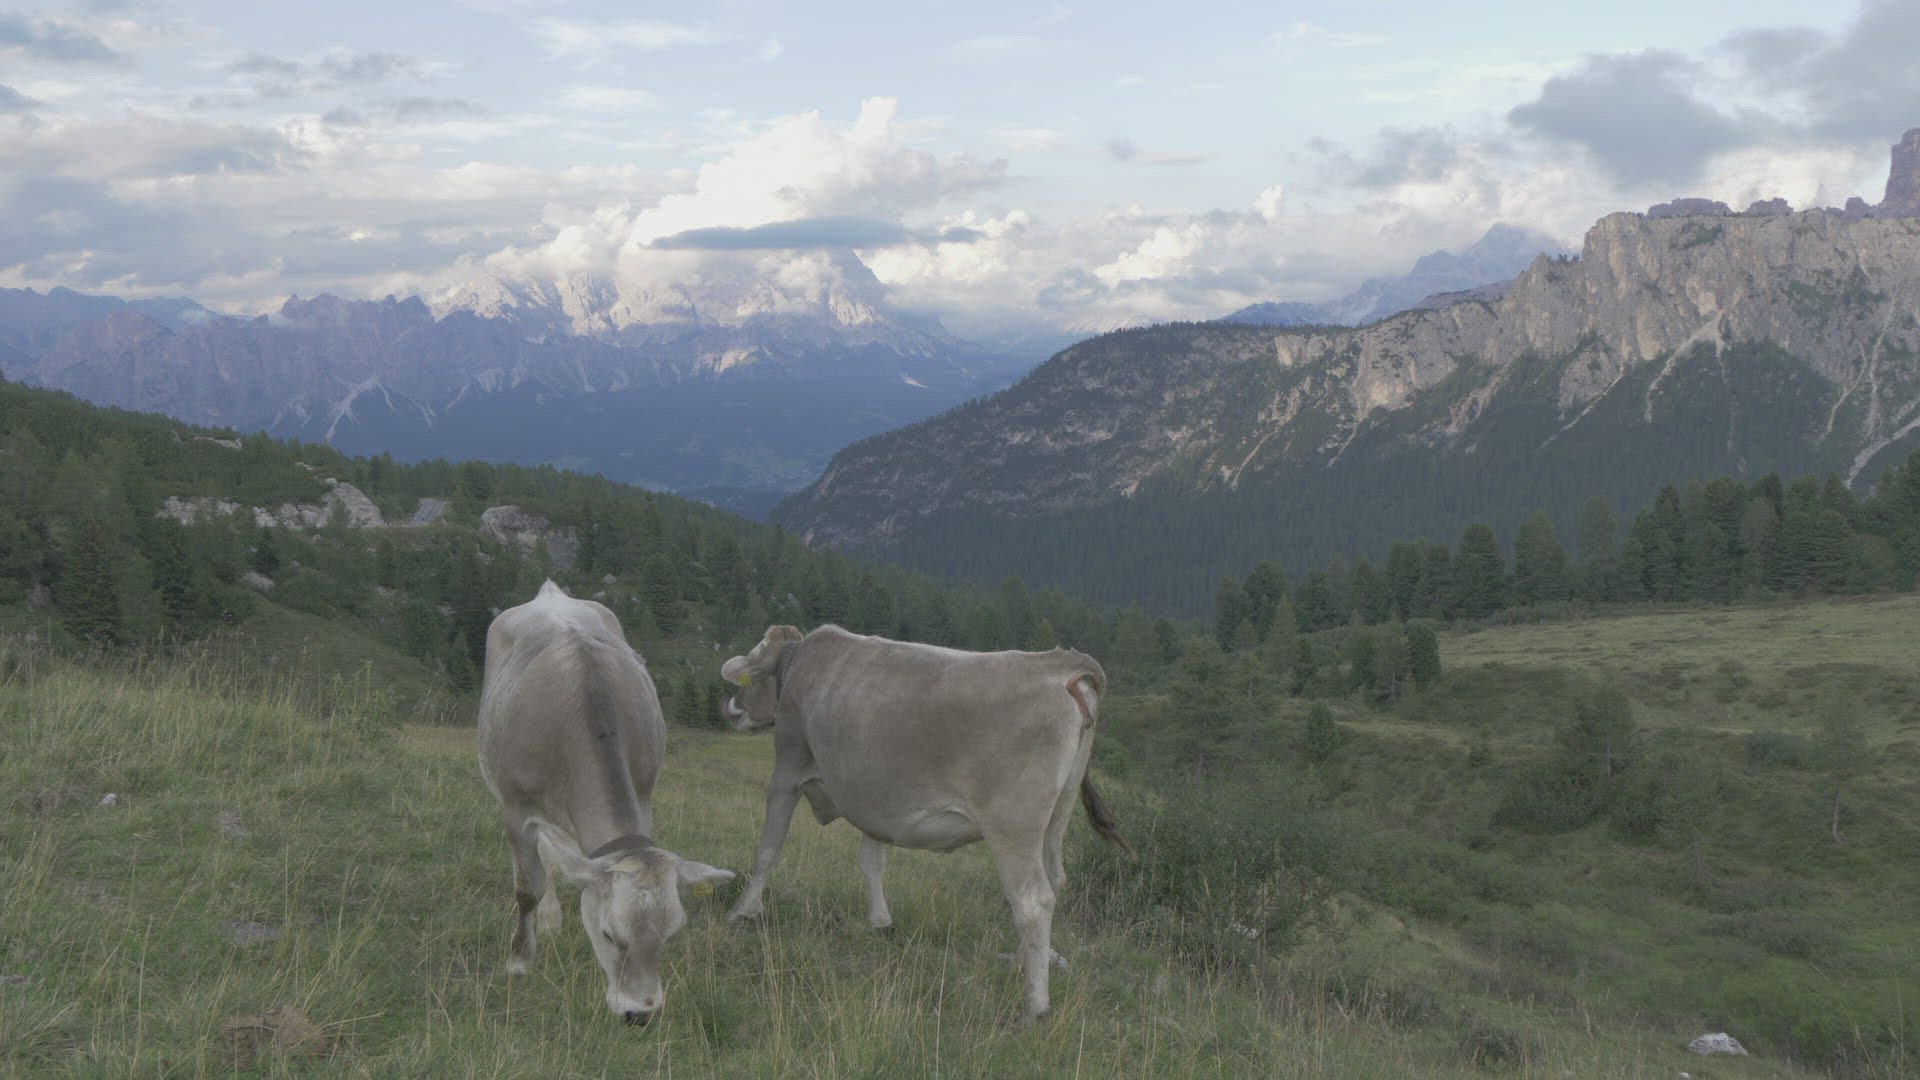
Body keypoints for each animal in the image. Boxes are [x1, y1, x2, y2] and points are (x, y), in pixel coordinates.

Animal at [478, 580, 733, 1025]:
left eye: (671, 935)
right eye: (609, 934)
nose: (640, 1013)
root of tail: (551, 594)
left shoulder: (644, 795)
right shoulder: (515, 810)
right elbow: (527, 888)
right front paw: (519, 963)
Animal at [718, 624, 1132, 1020]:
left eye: (752, 672)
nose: (731, 707)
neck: (800, 666)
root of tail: (1060, 663)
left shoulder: (786, 770)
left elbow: (768, 850)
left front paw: (742, 911)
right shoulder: (872, 798)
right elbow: (872, 861)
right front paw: (880, 921)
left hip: (1013, 825)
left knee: (1032, 901)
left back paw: (1036, 1003)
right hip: (1057, 816)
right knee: (1055, 880)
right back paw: (1019, 962)